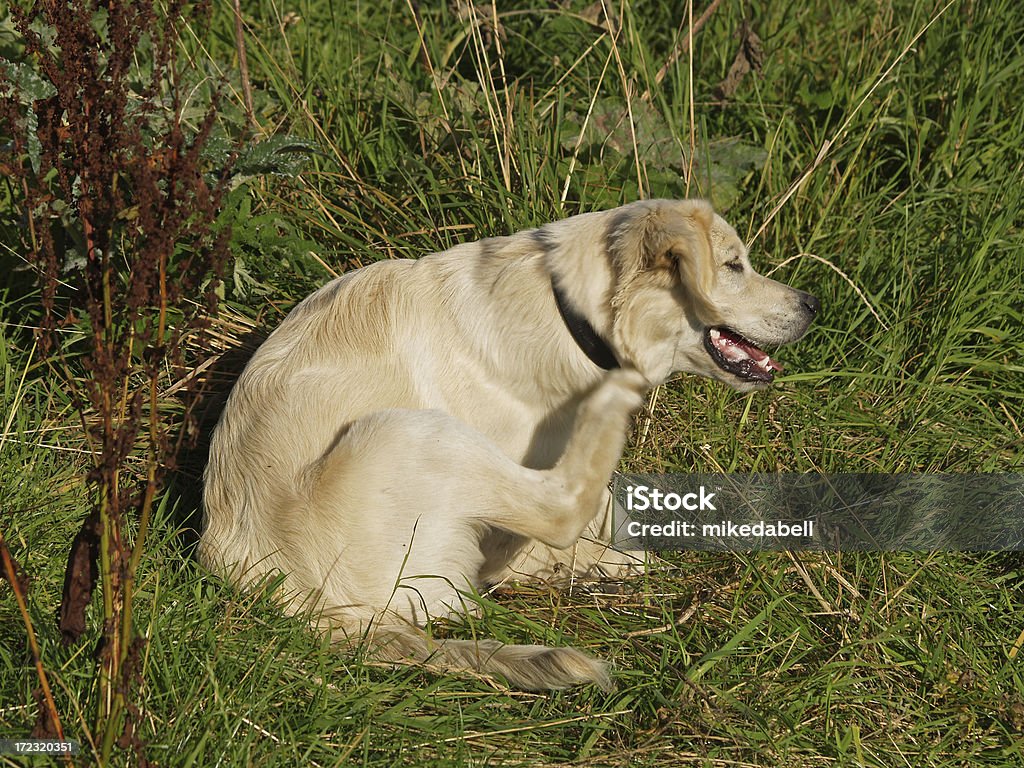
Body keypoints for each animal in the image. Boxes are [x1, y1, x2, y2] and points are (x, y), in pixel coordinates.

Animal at [201, 198, 815, 692]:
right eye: (733, 266)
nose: (812, 304)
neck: (570, 316)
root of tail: (313, 610)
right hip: (414, 434)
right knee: (559, 511)